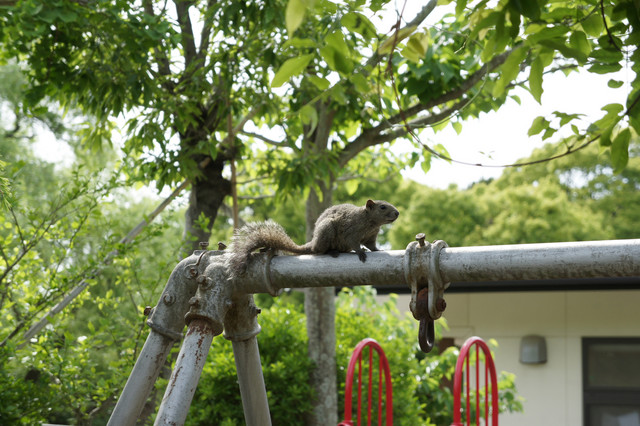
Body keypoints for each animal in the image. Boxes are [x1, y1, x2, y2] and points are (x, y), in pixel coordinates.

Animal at [226, 199, 399, 278]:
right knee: (318, 250)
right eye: (382, 207)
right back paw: (332, 252)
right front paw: (360, 252)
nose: (397, 213)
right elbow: (354, 242)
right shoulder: (351, 231)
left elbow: (372, 245)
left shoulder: (371, 236)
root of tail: (314, 241)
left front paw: (377, 250)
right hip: (326, 230)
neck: (370, 222)